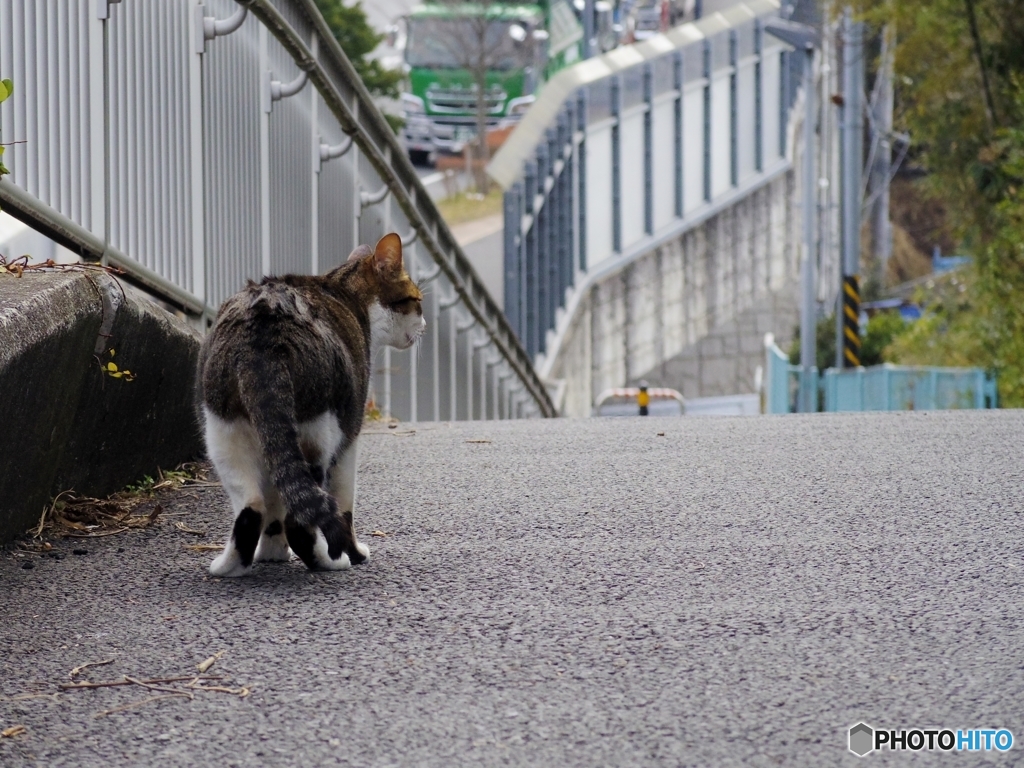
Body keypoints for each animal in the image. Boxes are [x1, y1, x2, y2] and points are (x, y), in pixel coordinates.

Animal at [195, 234, 423, 577]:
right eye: (417, 301)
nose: (424, 325)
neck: (345, 292)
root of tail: (264, 328)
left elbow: (276, 499)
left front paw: (272, 553)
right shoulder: (350, 436)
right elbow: (344, 506)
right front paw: (355, 553)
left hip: (224, 432)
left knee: (253, 506)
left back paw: (230, 566)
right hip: (318, 433)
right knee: (301, 521)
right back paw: (329, 561)